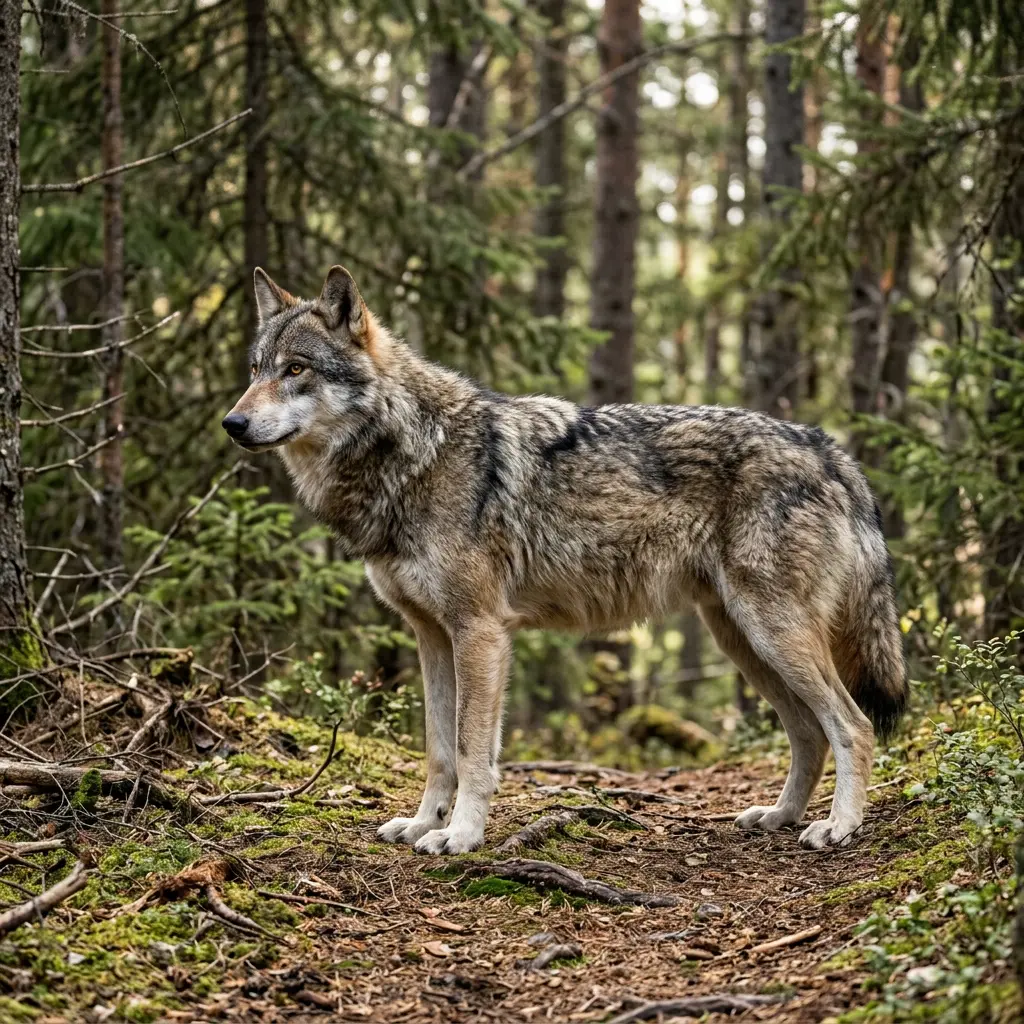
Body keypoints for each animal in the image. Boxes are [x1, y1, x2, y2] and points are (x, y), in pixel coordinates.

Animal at [223, 265, 907, 855]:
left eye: (296, 368)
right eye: (255, 369)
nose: (232, 422)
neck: (413, 451)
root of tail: (828, 448)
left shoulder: (479, 632)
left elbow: (471, 750)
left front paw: (460, 835)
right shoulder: (431, 636)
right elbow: (439, 749)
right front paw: (422, 824)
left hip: (772, 634)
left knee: (853, 726)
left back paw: (838, 827)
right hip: (742, 640)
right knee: (809, 733)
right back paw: (780, 816)